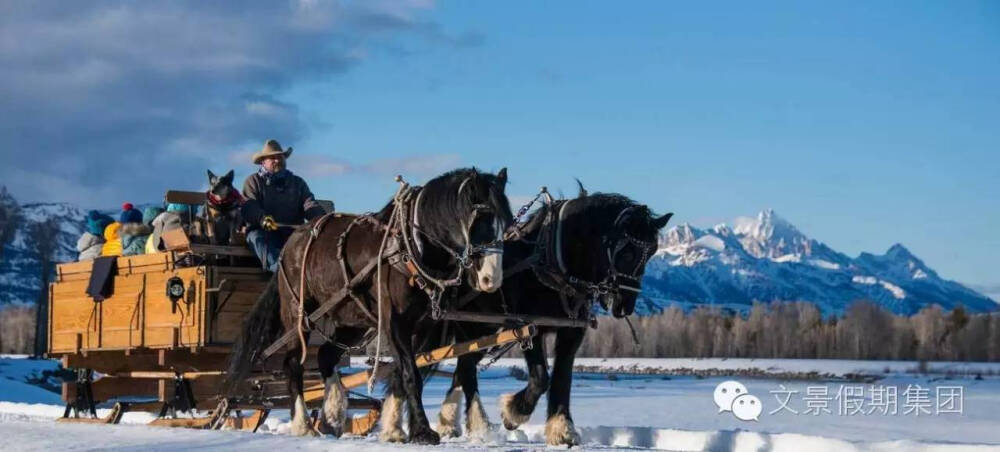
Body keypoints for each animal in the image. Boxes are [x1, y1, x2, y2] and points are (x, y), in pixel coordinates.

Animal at [226, 168, 508, 444]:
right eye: (479, 220)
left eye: (505, 224)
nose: (491, 279)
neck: (412, 246)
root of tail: (291, 241)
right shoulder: (395, 321)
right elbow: (410, 374)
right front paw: (421, 431)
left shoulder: (423, 325)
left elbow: (405, 372)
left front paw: (397, 429)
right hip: (298, 313)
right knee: (293, 363)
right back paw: (303, 424)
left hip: (352, 318)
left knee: (325, 355)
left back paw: (332, 414)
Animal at [382, 187, 672, 444]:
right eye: (627, 251)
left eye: (652, 253)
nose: (626, 305)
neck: (552, 262)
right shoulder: (529, 326)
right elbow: (541, 378)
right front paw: (513, 413)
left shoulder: (571, 331)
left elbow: (562, 378)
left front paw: (562, 429)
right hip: (467, 326)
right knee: (439, 368)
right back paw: (411, 426)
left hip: (482, 331)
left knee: (462, 368)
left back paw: (447, 422)